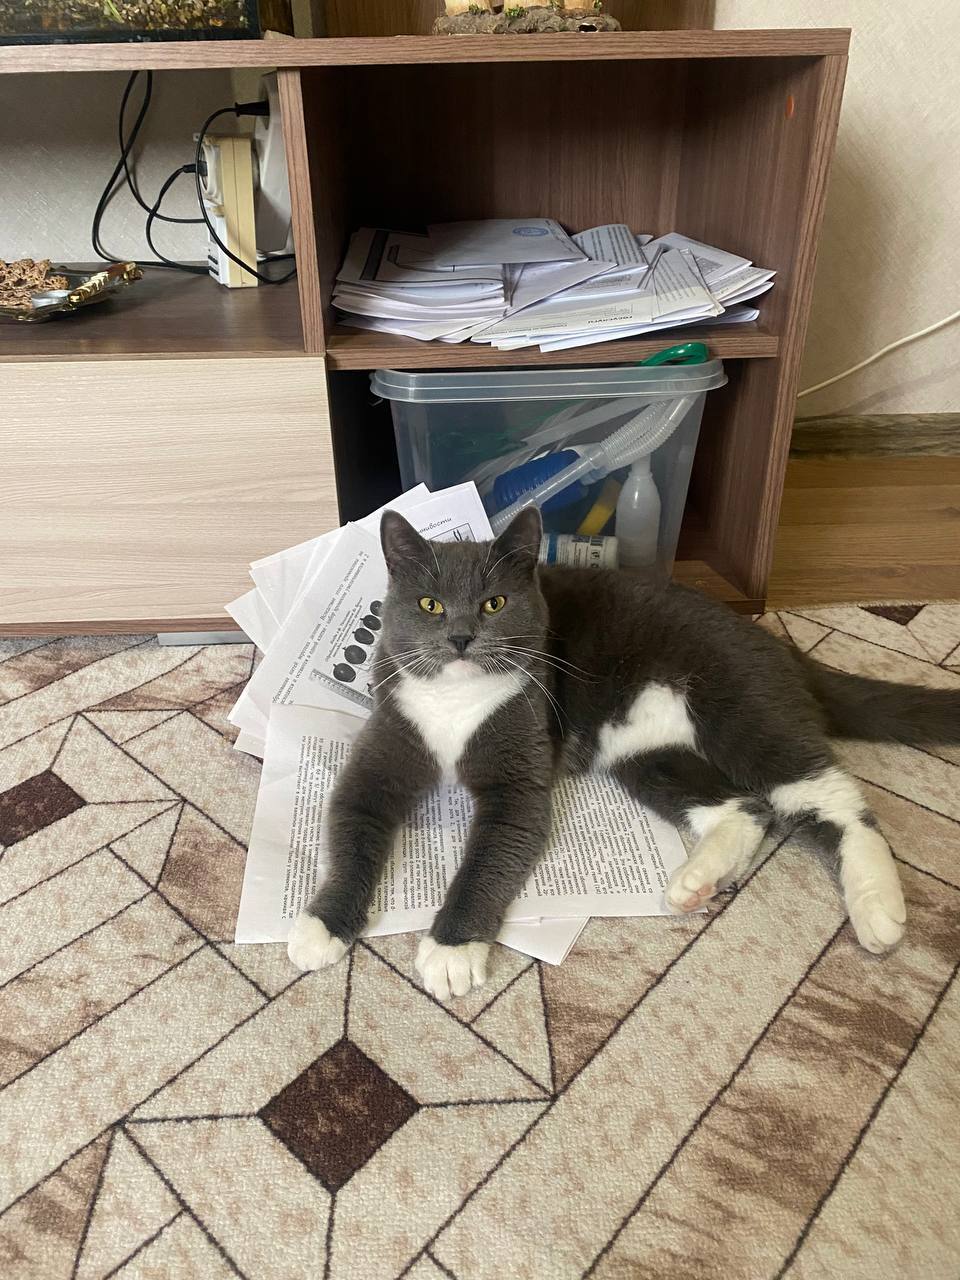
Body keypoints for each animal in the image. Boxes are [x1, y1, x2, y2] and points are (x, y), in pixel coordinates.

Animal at [287, 507, 960, 1000]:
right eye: (429, 604)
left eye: (493, 603)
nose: (459, 637)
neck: (456, 700)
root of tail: (773, 642)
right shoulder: (388, 738)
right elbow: (352, 819)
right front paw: (323, 924)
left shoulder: (521, 766)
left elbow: (492, 852)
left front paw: (452, 950)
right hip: (641, 746)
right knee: (744, 808)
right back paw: (695, 881)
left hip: (738, 707)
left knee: (830, 795)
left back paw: (878, 910)